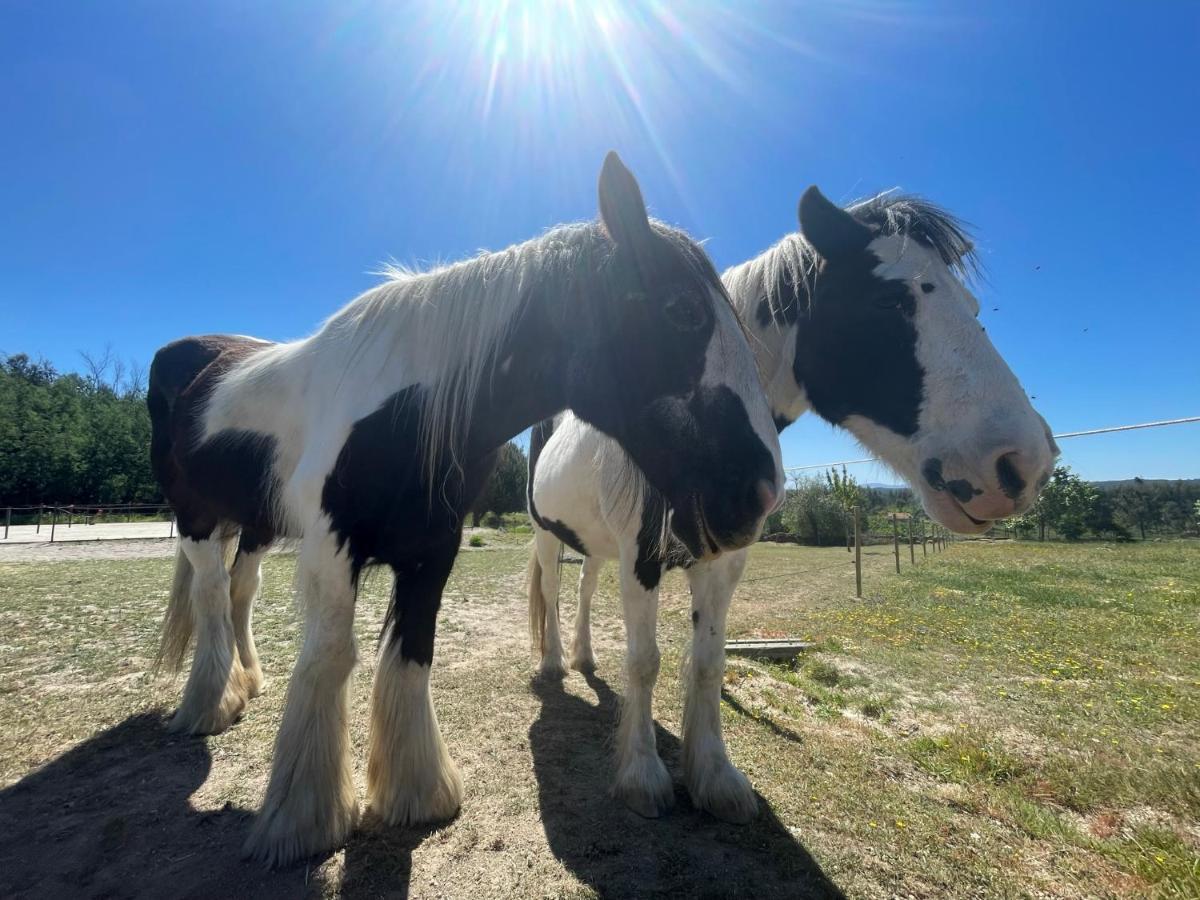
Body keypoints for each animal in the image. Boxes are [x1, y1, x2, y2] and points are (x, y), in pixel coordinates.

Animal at [145, 154, 782, 868]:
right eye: (681, 310)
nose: (762, 493)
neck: (408, 406)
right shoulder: (333, 546)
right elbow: (330, 657)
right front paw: (301, 820)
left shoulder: (432, 550)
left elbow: (412, 653)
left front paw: (416, 793)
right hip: (197, 520)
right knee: (208, 596)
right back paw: (210, 704)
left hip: (254, 528)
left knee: (239, 591)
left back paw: (245, 683)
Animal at [530, 188, 1056, 825]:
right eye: (889, 299)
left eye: (974, 308)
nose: (1023, 464)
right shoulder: (642, 556)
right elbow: (645, 660)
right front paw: (642, 776)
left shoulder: (723, 561)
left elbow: (707, 663)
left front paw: (715, 776)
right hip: (547, 532)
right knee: (553, 589)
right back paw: (554, 663)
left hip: (595, 542)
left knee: (584, 588)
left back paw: (584, 658)